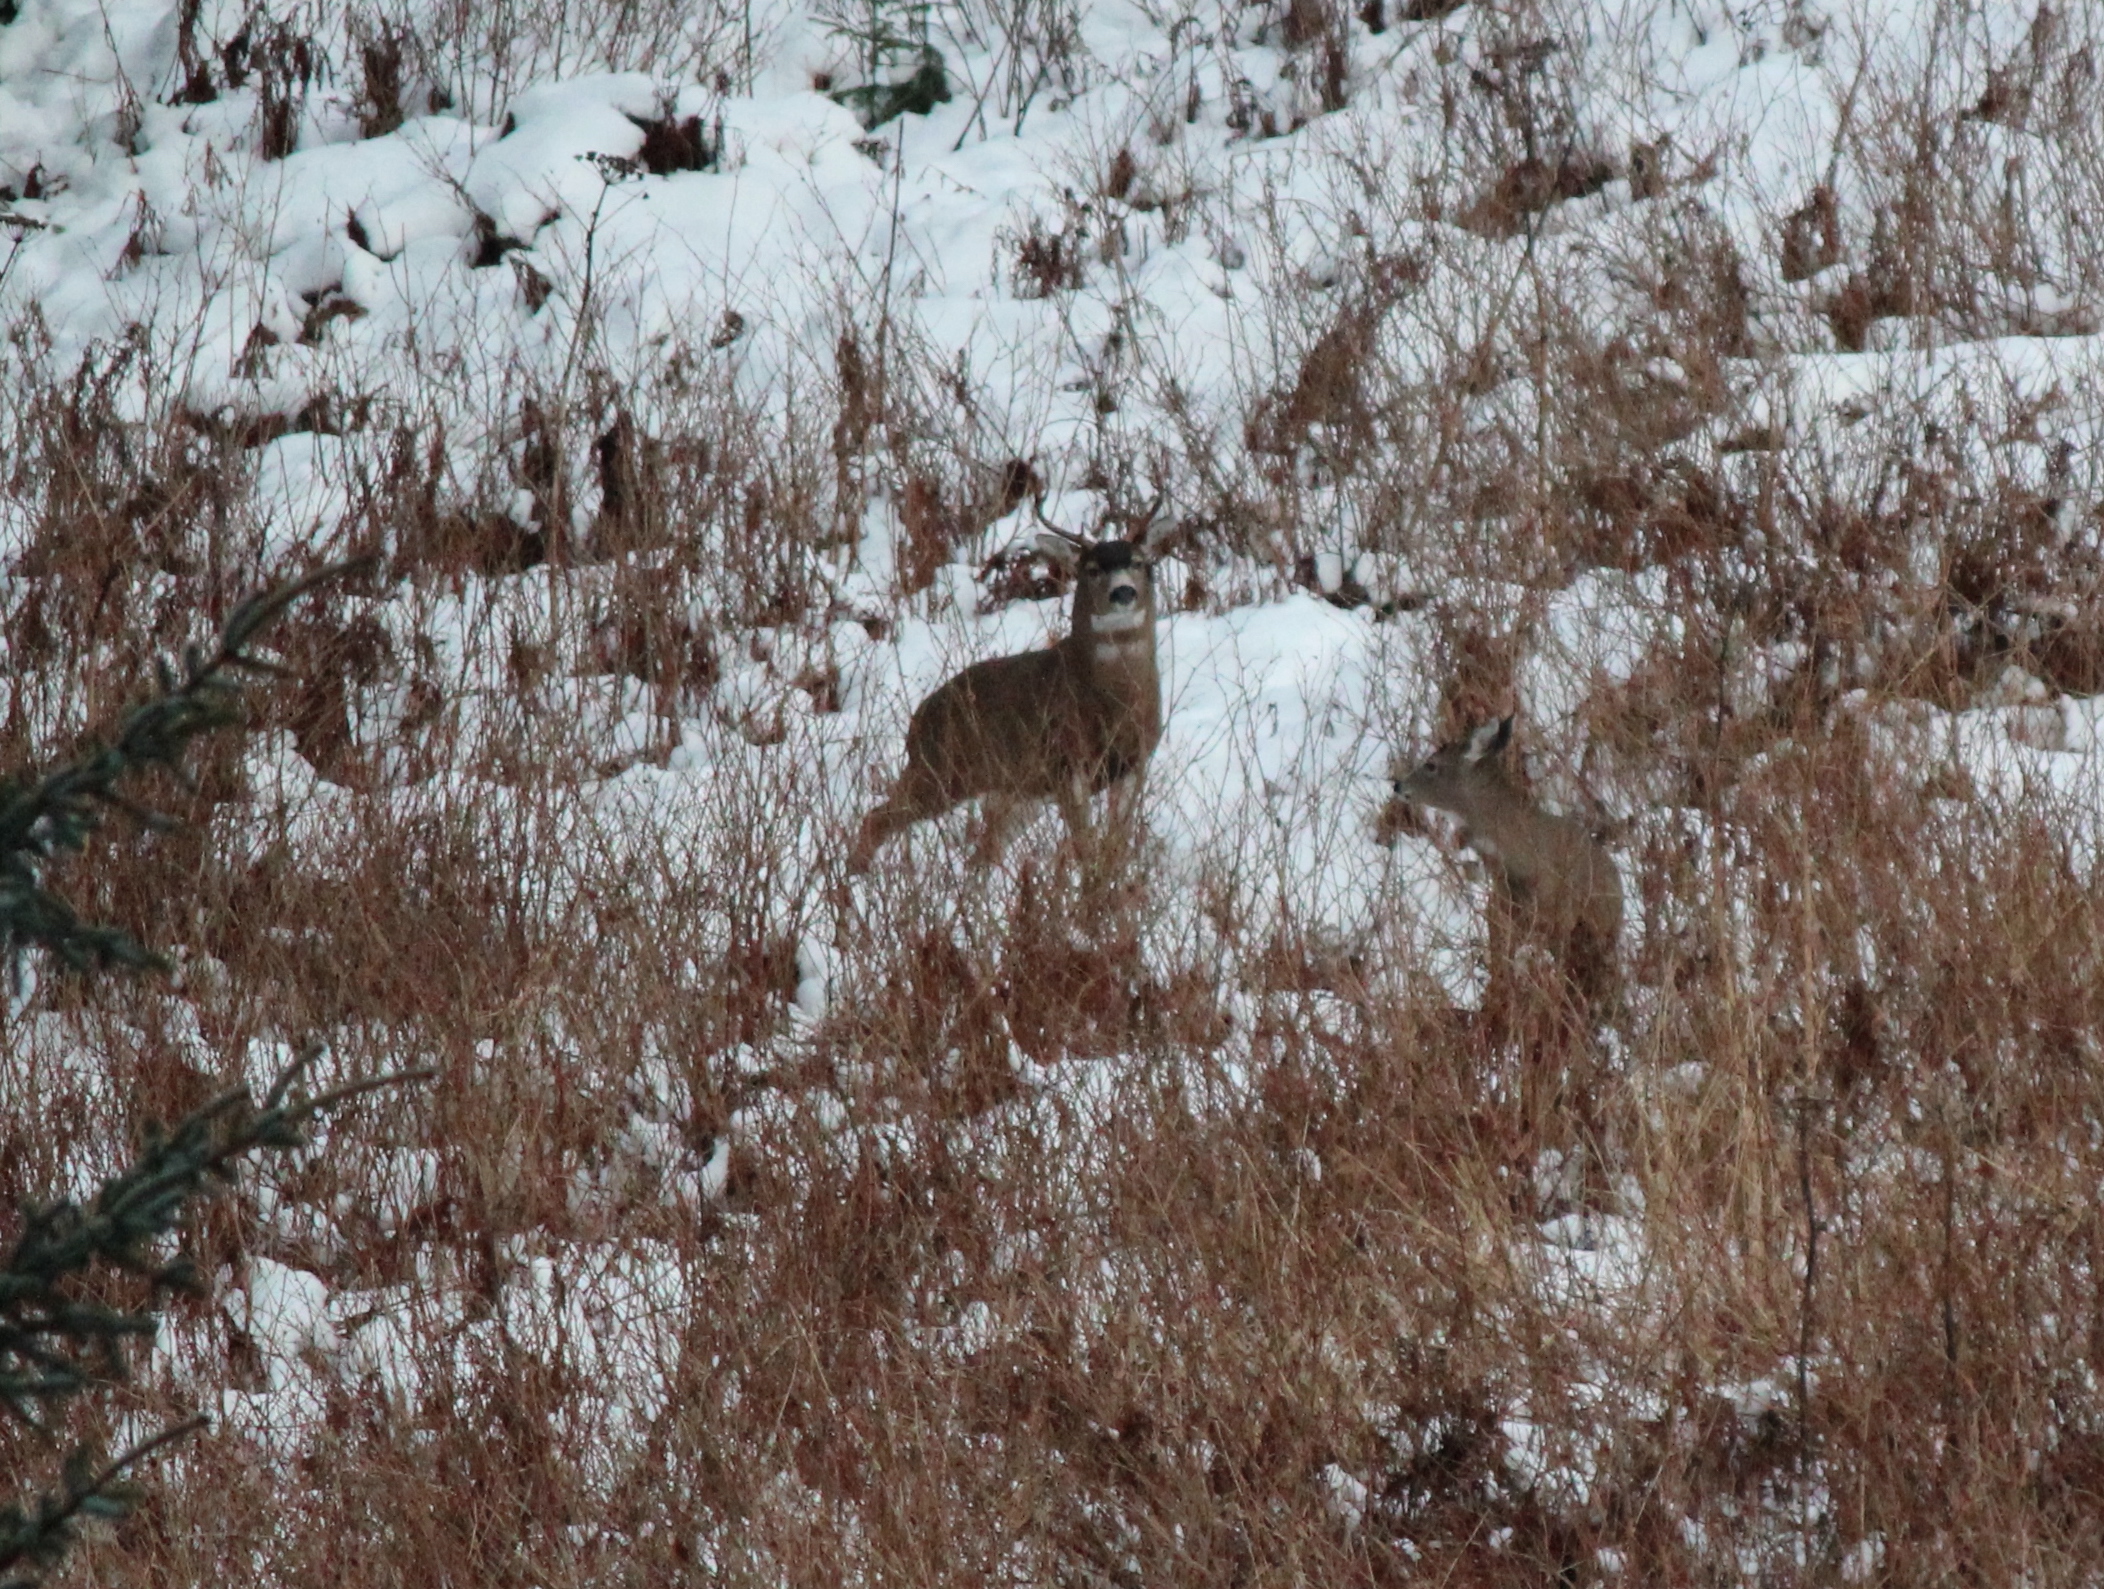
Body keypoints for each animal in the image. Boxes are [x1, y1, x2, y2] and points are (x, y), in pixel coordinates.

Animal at [845, 503, 1178, 875]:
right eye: (1091, 569)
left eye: (1140, 562)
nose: (1123, 592)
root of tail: (917, 721)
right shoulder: (1065, 763)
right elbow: (1085, 848)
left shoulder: (1134, 764)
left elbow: (1116, 847)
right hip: (943, 771)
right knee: (877, 819)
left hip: (1014, 793)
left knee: (983, 852)